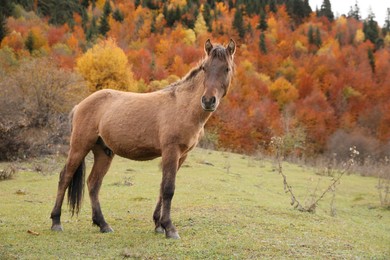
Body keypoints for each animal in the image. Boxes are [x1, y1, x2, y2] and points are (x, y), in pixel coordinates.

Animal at [50, 37, 236, 239]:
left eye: (227, 68)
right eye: (205, 68)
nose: (208, 101)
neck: (183, 106)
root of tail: (80, 105)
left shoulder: (182, 155)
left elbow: (163, 188)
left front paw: (158, 224)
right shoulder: (171, 151)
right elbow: (168, 189)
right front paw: (170, 228)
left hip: (104, 152)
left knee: (93, 183)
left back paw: (103, 224)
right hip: (79, 146)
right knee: (65, 177)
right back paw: (56, 221)